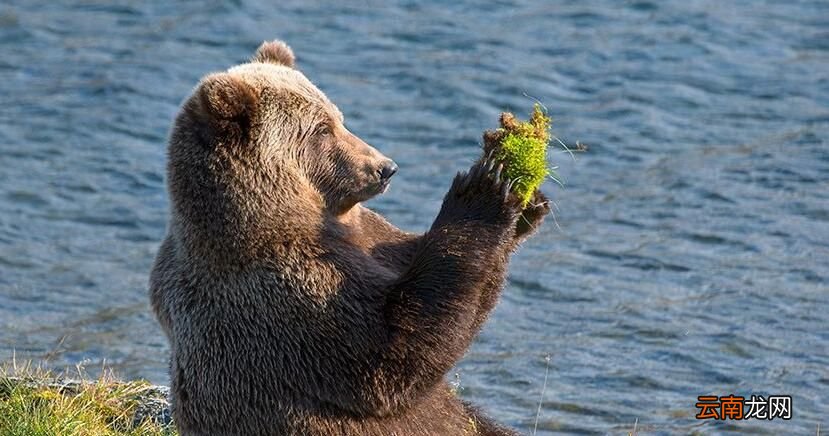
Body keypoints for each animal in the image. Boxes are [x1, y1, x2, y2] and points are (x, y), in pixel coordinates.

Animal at [150, 40, 550, 436]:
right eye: (321, 129)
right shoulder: (290, 291)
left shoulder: (370, 240)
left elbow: (424, 264)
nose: (385, 167)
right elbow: (388, 358)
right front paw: (484, 189)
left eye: (338, 118)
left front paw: (527, 196)